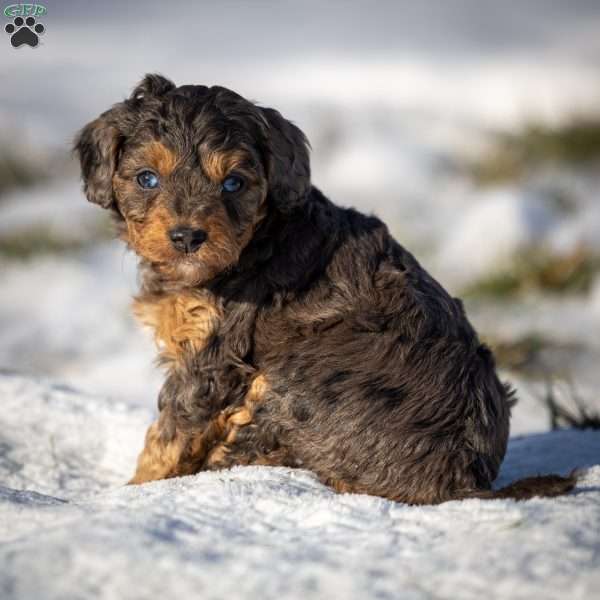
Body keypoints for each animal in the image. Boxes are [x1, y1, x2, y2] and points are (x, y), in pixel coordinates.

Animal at [75, 74, 576, 502]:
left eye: (234, 183)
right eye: (147, 178)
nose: (186, 237)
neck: (256, 242)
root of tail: (462, 484)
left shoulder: (212, 360)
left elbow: (168, 434)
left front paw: (133, 490)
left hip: (287, 385)